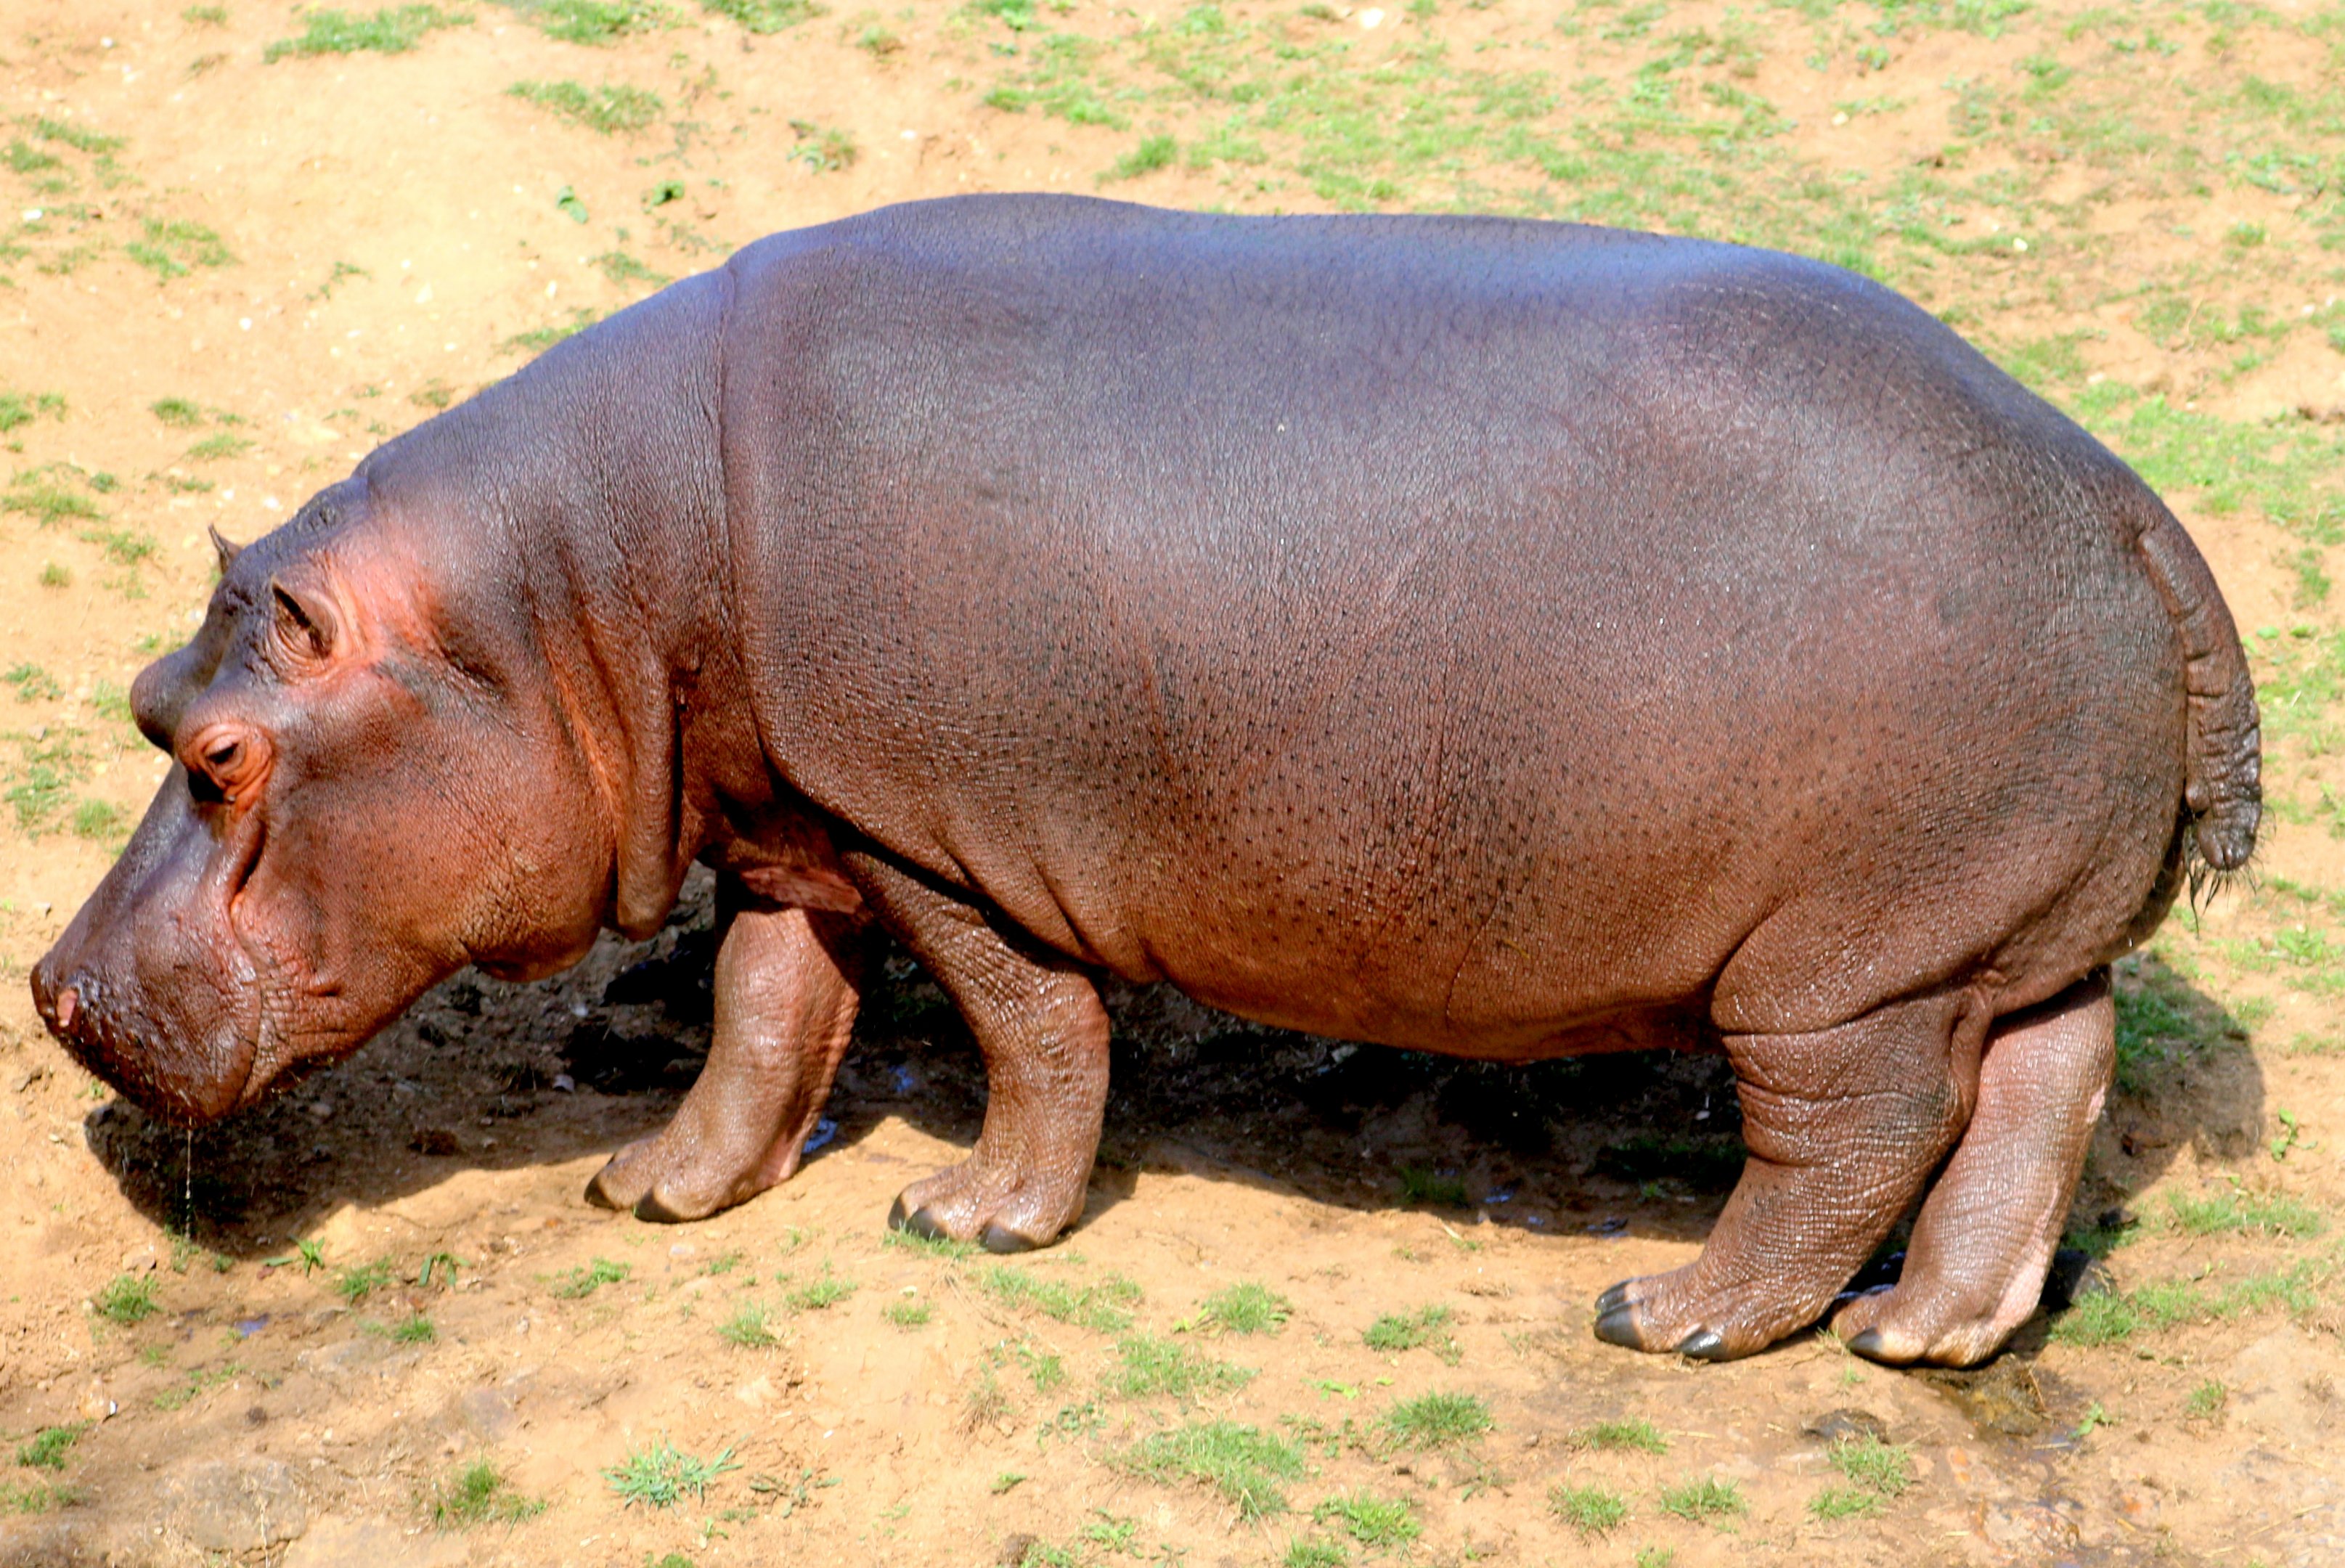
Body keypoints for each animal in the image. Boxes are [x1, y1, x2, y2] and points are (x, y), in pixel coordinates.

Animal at [32, 194, 2258, 1366]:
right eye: (145, 695)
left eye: (218, 751)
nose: (51, 989)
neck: (566, 593)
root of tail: (2120, 491)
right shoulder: (793, 820)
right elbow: (764, 1014)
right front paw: (656, 1189)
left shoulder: (933, 834)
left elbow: (1025, 1029)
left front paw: (965, 1219)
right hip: (1992, 932)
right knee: (2042, 1094)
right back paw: (1932, 1336)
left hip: (1835, 966)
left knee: (1851, 1141)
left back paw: (1674, 1313)